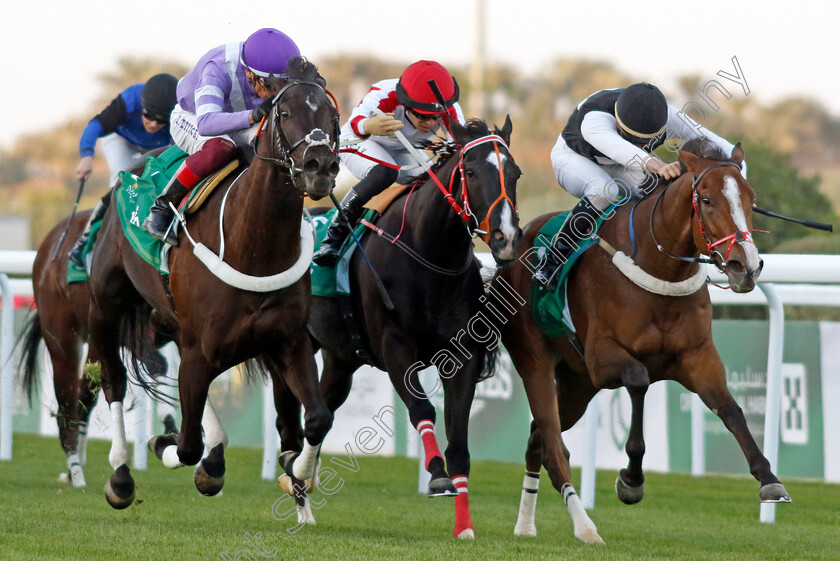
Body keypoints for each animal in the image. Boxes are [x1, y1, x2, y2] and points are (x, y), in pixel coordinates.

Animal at [17, 208, 175, 488]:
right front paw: (169, 429)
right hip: (63, 338)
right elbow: (157, 364)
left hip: (96, 343)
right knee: (67, 403)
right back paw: (75, 467)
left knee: (84, 396)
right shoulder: (129, 332)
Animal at [88, 59, 342, 510]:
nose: (320, 167)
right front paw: (163, 443)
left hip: (170, 318)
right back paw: (121, 475)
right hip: (107, 304)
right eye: (285, 113)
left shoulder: (288, 341)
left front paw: (298, 471)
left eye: (332, 117)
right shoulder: (200, 349)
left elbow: (316, 417)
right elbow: (187, 446)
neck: (254, 246)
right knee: (114, 382)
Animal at [296, 118, 520, 540]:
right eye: (470, 172)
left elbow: (460, 442)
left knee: (322, 412)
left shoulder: (462, 357)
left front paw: (464, 526)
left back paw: (301, 486)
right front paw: (437, 478)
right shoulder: (395, 346)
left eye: (515, 174)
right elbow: (421, 408)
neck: (429, 254)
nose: (505, 237)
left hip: (340, 359)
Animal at [492, 138, 788, 544]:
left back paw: (525, 525)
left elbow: (731, 410)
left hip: (577, 383)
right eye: (707, 200)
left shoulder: (698, 356)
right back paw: (582, 527)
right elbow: (638, 382)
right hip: (537, 360)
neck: (659, 266)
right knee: (552, 444)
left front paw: (769, 478)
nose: (747, 267)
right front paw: (631, 480)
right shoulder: (602, 357)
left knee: (537, 437)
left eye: (750, 198)